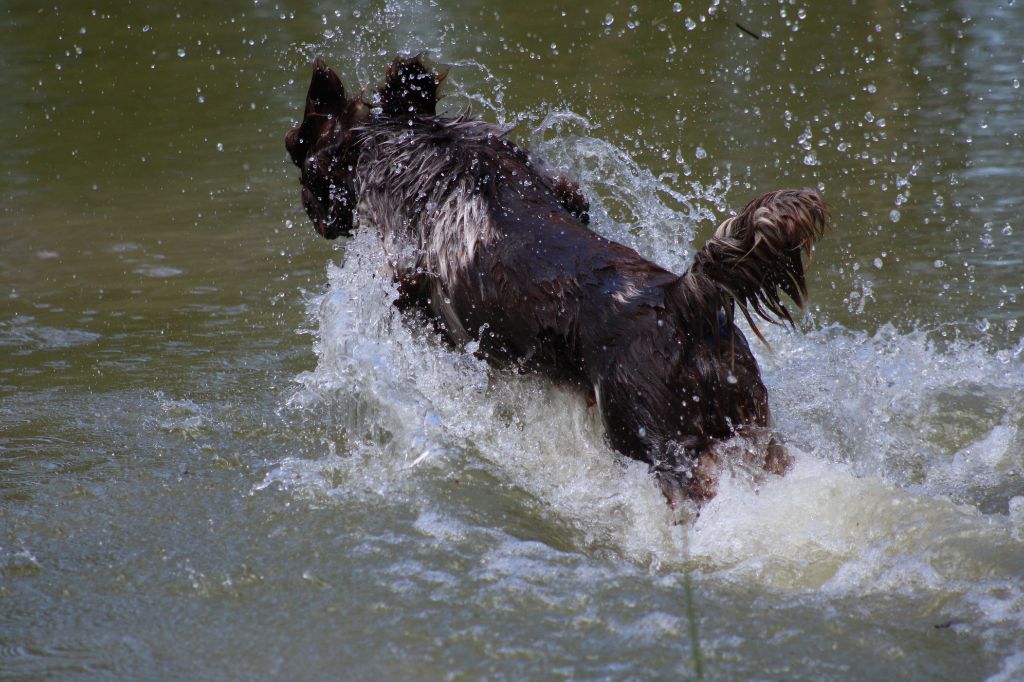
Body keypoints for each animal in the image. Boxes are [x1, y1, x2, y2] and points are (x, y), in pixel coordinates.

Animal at [284, 55, 827, 503]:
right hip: (751, 427)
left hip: (657, 441)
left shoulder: (413, 282)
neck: (415, 144)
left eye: (301, 156)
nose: (310, 211)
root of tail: (683, 300)